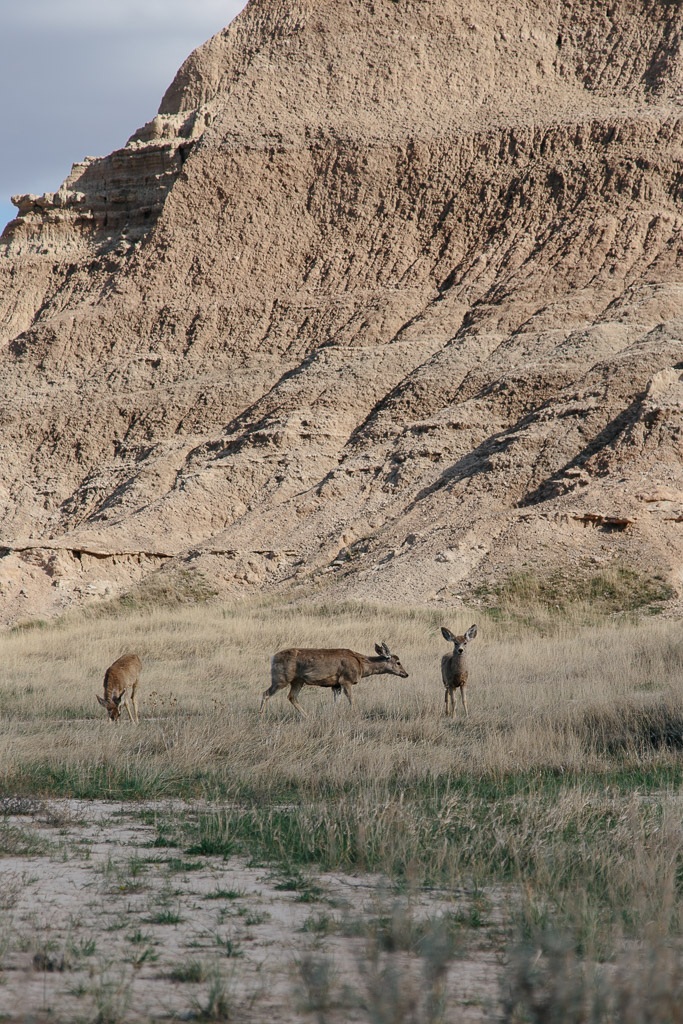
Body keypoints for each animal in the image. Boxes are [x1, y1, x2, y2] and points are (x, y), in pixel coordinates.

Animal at [260, 643, 411, 716]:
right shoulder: (346, 680)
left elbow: (335, 703)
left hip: (298, 681)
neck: (361, 665)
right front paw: (355, 714)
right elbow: (351, 700)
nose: (406, 674)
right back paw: (261, 716)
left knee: (292, 697)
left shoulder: (336, 685)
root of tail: (273, 658)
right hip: (281, 678)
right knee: (266, 693)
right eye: (398, 662)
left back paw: (307, 716)